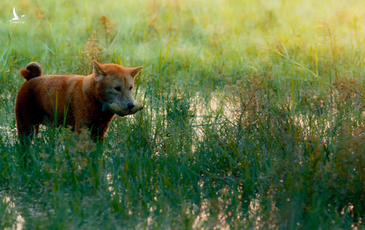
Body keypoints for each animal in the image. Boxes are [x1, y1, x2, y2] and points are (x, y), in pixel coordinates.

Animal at [15, 60, 144, 141]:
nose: (131, 105)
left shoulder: (100, 132)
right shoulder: (82, 131)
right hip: (26, 129)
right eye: (117, 88)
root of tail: (31, 79)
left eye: (130, 88)